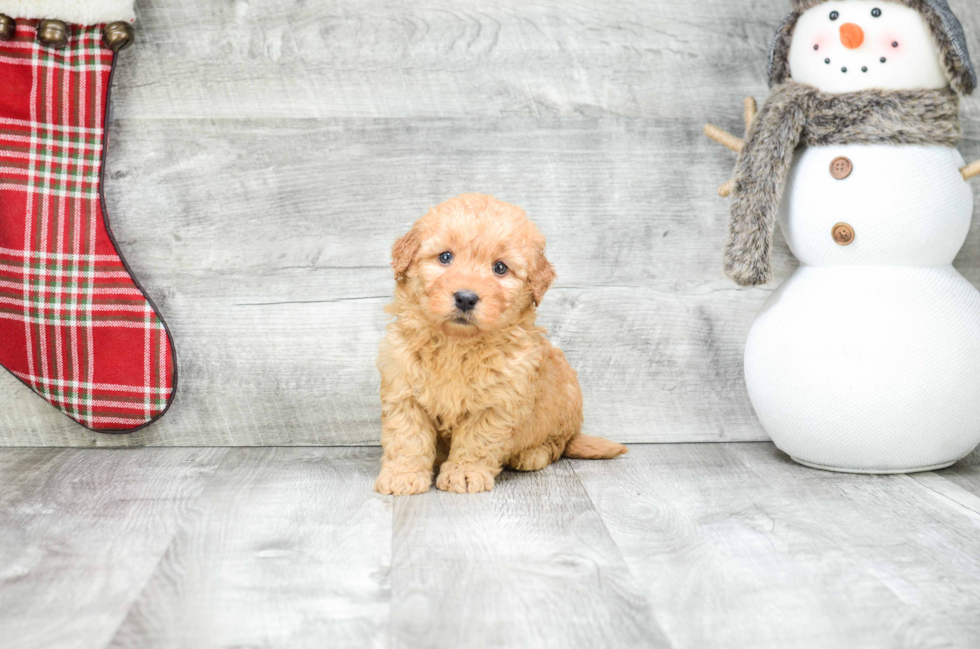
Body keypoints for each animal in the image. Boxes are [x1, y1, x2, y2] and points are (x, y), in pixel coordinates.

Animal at [376, 194, 628, 496]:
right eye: (445, 257)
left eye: (500, 268)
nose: (466, 297)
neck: (457, 344)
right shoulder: (403, 389)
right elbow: (408, 437)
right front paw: (403, 475)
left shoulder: (497, 401)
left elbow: (476, 440)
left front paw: (464, 473)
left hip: (565, 402)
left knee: (555, 445)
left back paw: (531, 455)